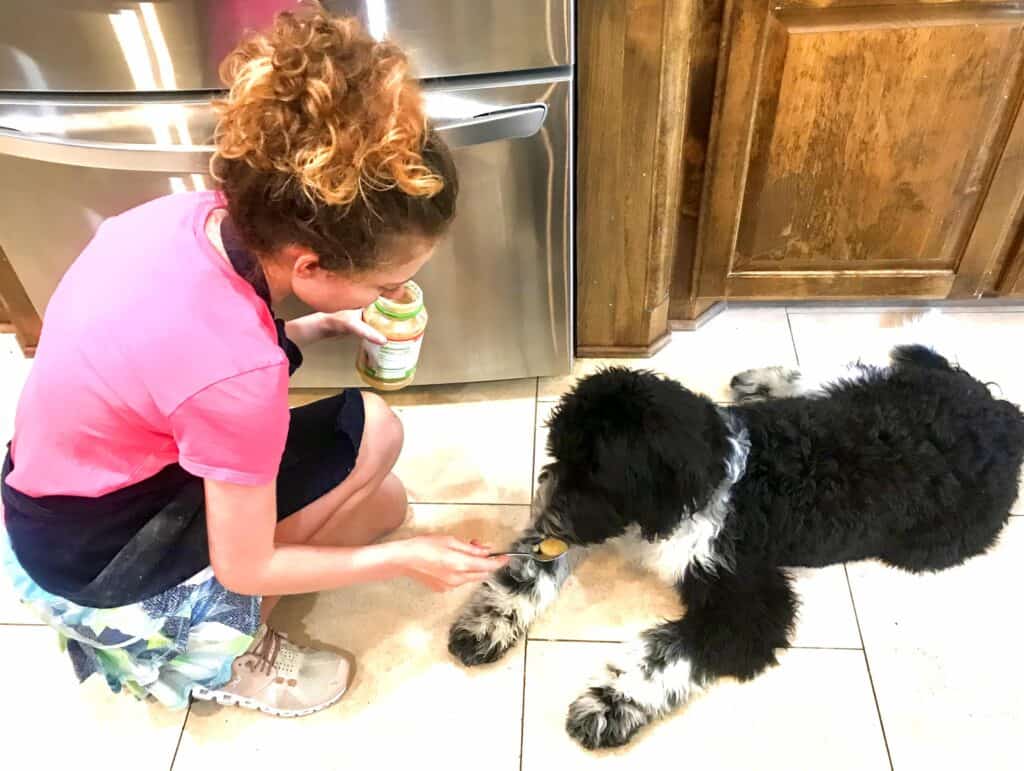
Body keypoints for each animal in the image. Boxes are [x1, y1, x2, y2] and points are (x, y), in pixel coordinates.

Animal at [446, 341, 1024, 745]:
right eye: (561, 455)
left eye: (597, 474)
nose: (547, 507)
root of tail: (1001, 415)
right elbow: (528, 571)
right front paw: (488, 622)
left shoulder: (747, 597)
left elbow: (667, 654)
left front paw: (610, 704)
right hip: (866, 390)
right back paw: (761, 383)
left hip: (933, 546)